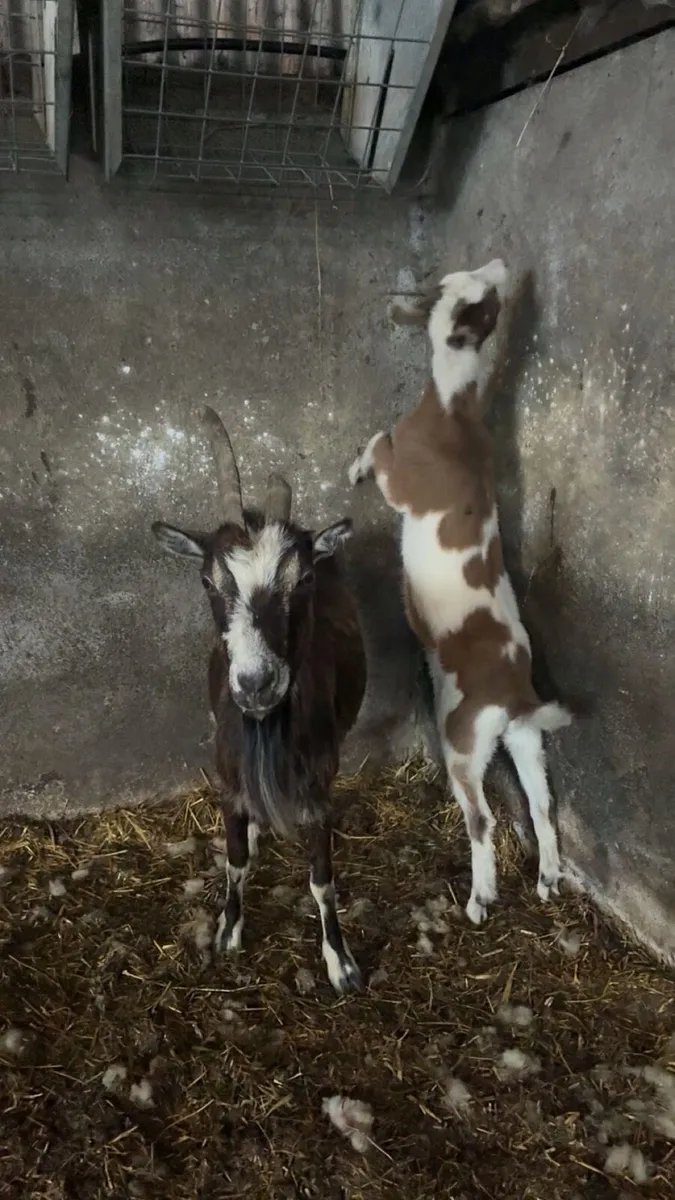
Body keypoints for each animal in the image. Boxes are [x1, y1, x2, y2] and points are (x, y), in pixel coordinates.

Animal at [153, 407, 367, 994]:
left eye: (304, 578)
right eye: (208, 581)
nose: (255, 683)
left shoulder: (317, 786)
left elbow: (322, 880)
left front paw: (340, 962)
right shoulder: (228, 779)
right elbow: (236, 860)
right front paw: (228, 932)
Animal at [348, 258, 571, 925]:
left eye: (455, 290)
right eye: (471, 284)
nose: (501, 265)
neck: (453, 409)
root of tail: (512, 693)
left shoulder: (400, 478)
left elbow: (377, 442)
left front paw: (353, 467)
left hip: (464, 744)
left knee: (482, 819)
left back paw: (480, 897)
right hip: (525, 739)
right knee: (543, 807)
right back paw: (547, 878)